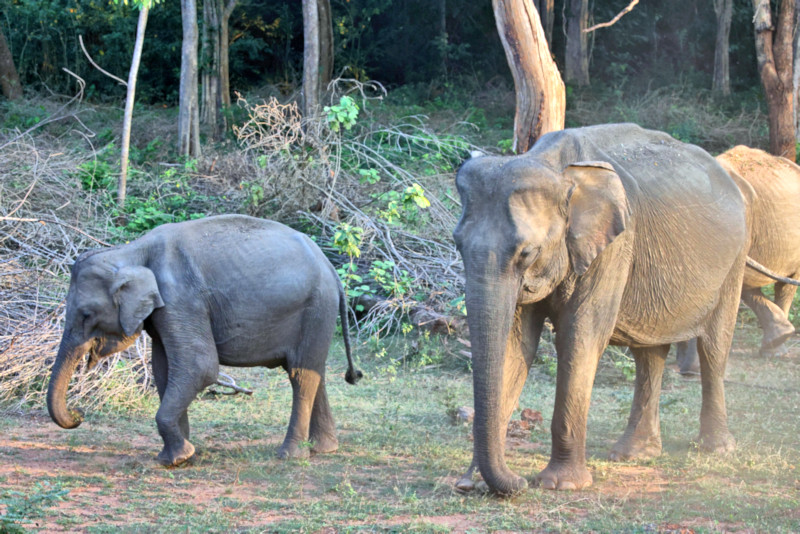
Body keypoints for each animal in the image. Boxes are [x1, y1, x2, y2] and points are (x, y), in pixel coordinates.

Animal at [47, 216, 362, 466]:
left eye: (86, 314)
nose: (78, 412)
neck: (132, 250)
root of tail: (331, 268)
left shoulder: (181, 298)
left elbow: (199, 366)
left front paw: (179, 459)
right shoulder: (165, 310)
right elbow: (164, 370)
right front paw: (178, 454)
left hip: (315, 308)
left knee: (300, 375)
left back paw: (290, 455)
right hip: (317, 313)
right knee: (314, 371)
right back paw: (324, 449)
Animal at [454, 123, 752, 496]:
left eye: (527, 253)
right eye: (457, 245)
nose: (520, 482)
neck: (554, 167)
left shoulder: (613, 246)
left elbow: (580, 337)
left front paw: (560, 485)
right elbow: (515, 343)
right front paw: (474, 482)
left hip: (735, 259)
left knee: (714, 346)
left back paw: (716, 449)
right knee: (649, 353)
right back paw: (634, 454)